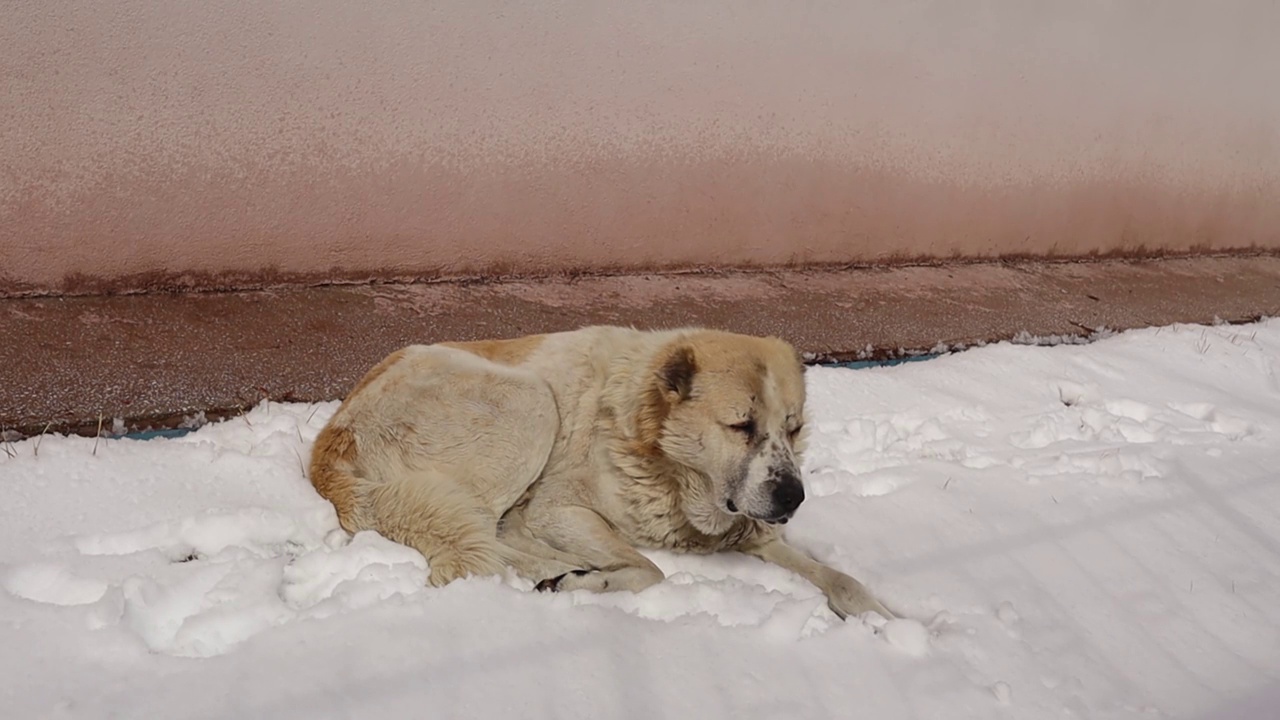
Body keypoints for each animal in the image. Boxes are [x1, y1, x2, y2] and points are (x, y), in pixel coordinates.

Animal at [305, 324, 896, 617]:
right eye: (741, 426)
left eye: (793, 428)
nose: (794, 498)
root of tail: (327, 448)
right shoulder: (555, 510)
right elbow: (649, 568)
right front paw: (592, 578)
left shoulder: (755, 530)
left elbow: (843, 580)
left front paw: (888, 621)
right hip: (531, 403)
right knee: (484, 538)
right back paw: (561, 574)